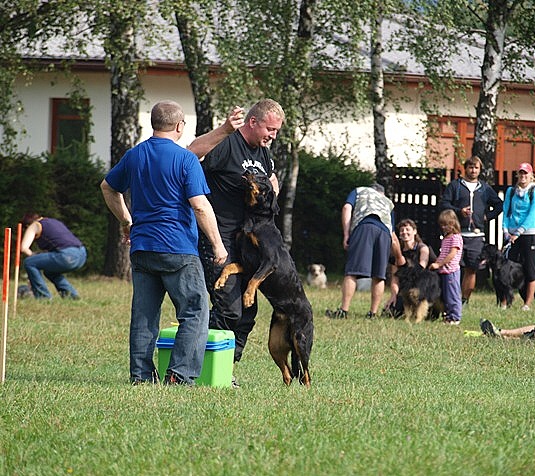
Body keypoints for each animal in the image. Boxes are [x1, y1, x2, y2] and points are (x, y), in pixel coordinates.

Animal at [215, 171, 314, 386]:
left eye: (262, 178)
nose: (247, 171)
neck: (255, 219)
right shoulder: (247, 265)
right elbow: (228, 266)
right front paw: (220, 281)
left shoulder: (269, 261)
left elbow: (254, 280)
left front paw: (247, 298)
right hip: (275, 344)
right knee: (289, 373)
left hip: (301, 339)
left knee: (306, 374)